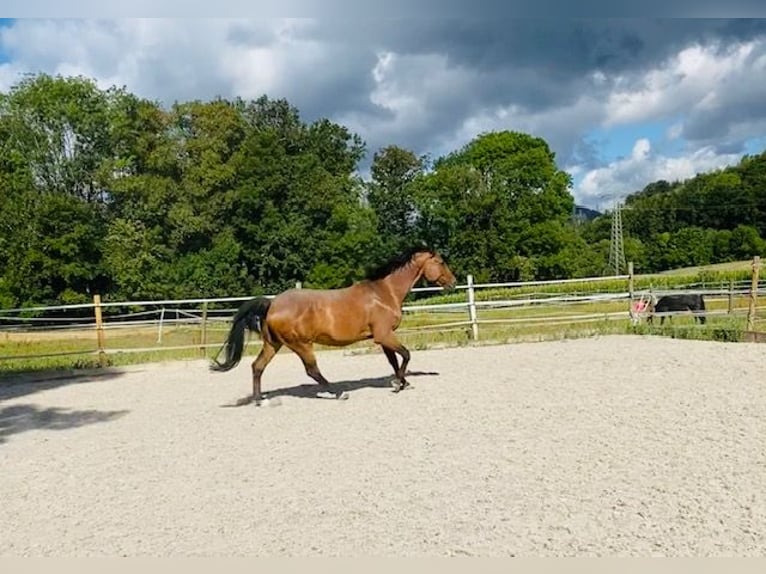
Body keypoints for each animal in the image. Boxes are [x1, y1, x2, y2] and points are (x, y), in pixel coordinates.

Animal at [212, 248, 456, 404]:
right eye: (441, 262)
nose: (453, 283)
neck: (384, 293)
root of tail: (272, 304)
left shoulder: (382, 337)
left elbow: (394, 360)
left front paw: (402, 382)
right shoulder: (384, 335)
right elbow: (405, 355)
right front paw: (399, 384)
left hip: (274, 344)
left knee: (257, 366)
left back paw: (259, 400)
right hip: (301, 344)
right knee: (311, 370)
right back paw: (338, 394)